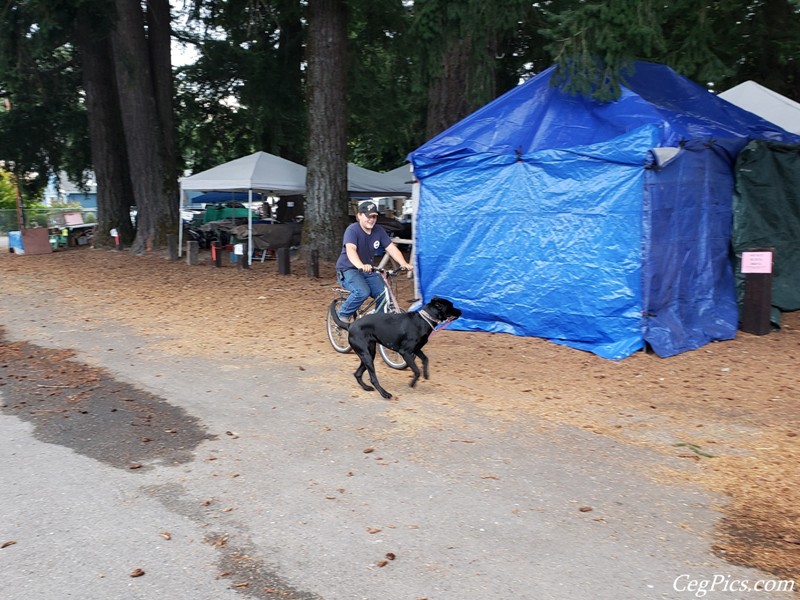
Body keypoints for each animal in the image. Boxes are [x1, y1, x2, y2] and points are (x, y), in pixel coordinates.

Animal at [328, 296, 462, 398]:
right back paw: (385, 394)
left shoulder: (416, 349)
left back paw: (366, 388)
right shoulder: (405, 352)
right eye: (451, 305)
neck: (424, 320)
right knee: (373, 378)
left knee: (357, 374)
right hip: (366, 355)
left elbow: (425, 359)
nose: (461, 311)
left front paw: (426, 374)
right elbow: (416, 370)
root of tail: (350, 325)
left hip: (369, 354)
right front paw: (412, 383)